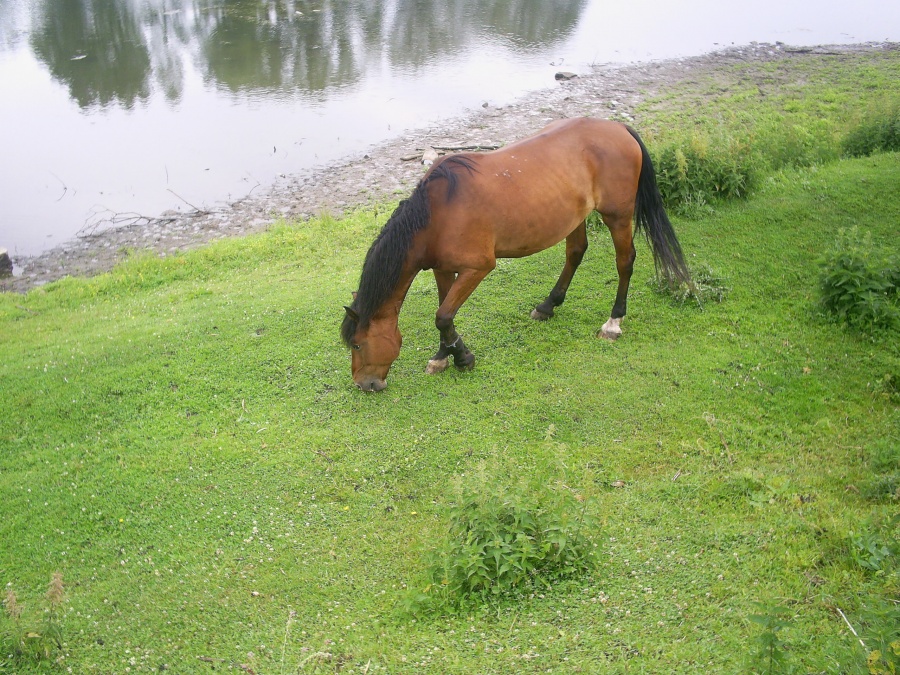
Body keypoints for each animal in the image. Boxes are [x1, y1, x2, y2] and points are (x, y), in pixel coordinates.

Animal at [342, 117, 684, 390]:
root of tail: (619, 128)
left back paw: (613, 323)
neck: (438, 213)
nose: (364, 384)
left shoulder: (478, 268)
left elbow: (443, 316)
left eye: (357, 345)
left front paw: (462, 357)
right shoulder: (443, 269)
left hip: (618, 216)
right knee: (575, 253)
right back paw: (548, 305)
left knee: (625, 262)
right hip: (574, 218)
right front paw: (442, 356)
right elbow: (444, 311)